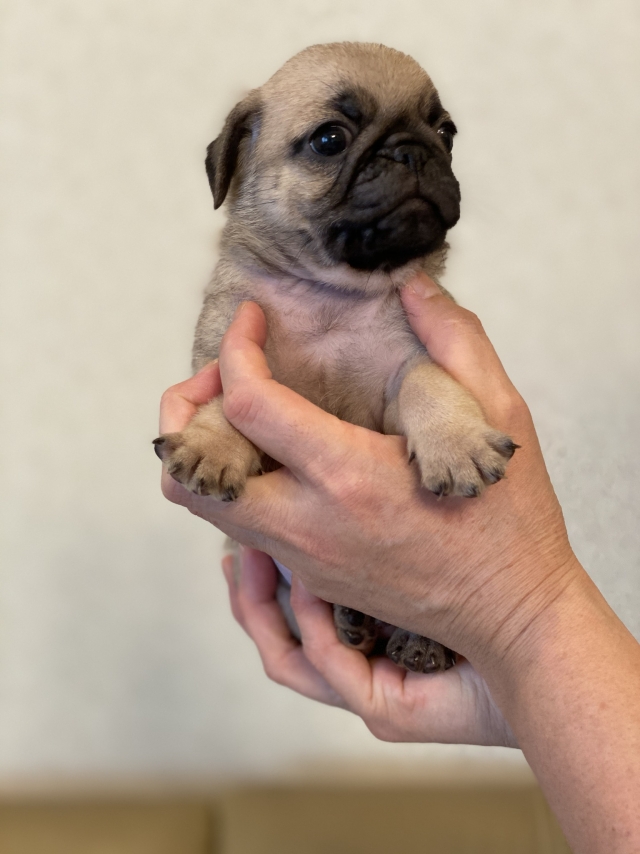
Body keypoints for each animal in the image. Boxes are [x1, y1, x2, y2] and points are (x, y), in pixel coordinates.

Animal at [154, 42, 517, 673]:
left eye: (445, 133)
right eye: (330, 139)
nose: (413, 149)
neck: (333, 293)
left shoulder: (410, 363)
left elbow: (428, 383)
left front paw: (456, 444)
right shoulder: (229, 347)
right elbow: (227, 391)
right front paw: (213, 446)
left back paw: (417, 642)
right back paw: (349, 618)